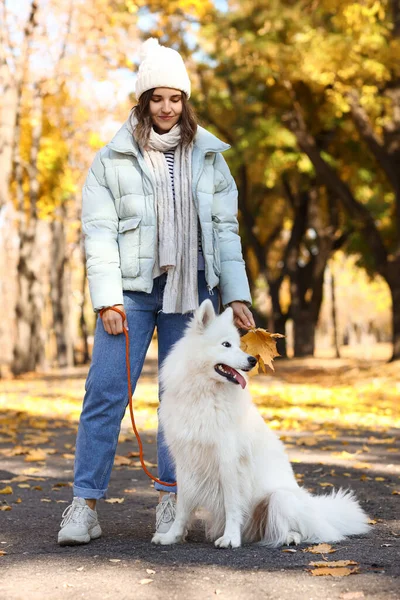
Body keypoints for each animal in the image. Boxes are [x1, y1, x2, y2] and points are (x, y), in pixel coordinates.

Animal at [152, 300, 370, 548]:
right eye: (226, 345)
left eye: (238, 345)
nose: (252, 360)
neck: (204, 395)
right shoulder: (186, 463)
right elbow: (182, 509)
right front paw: (172, 536)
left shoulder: (229, 462)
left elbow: (232, 505)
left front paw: (230, 538)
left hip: (280, 499)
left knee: (303, 529)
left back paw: (291, 537)